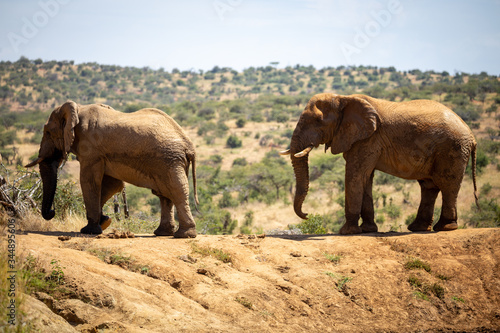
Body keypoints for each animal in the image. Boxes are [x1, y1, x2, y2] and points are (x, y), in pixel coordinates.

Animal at [25, 100, 197, 237]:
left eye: (48, 132)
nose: (52, 212)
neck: (78, 109)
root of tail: (189, 144)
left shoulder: (90, 149)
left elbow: (88, 181)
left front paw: (89, 230)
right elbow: (113, 185)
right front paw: (105, 222)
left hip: (169, 160)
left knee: (176, 190)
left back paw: (184, 235)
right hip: (167, 161)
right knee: (164, 194)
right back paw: (162, 233)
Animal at [280, 92, 478, 233]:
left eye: (318, 121)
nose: (306, 215)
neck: (343, 98)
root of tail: (471, 135)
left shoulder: (368, 139)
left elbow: (355, 175)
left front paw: (347, 232)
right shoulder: (362, 139)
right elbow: (365, 178)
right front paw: (368, 230)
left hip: (453, 148)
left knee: (448, 185)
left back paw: (445, 227)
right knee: (429, 186)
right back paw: (419, 228)